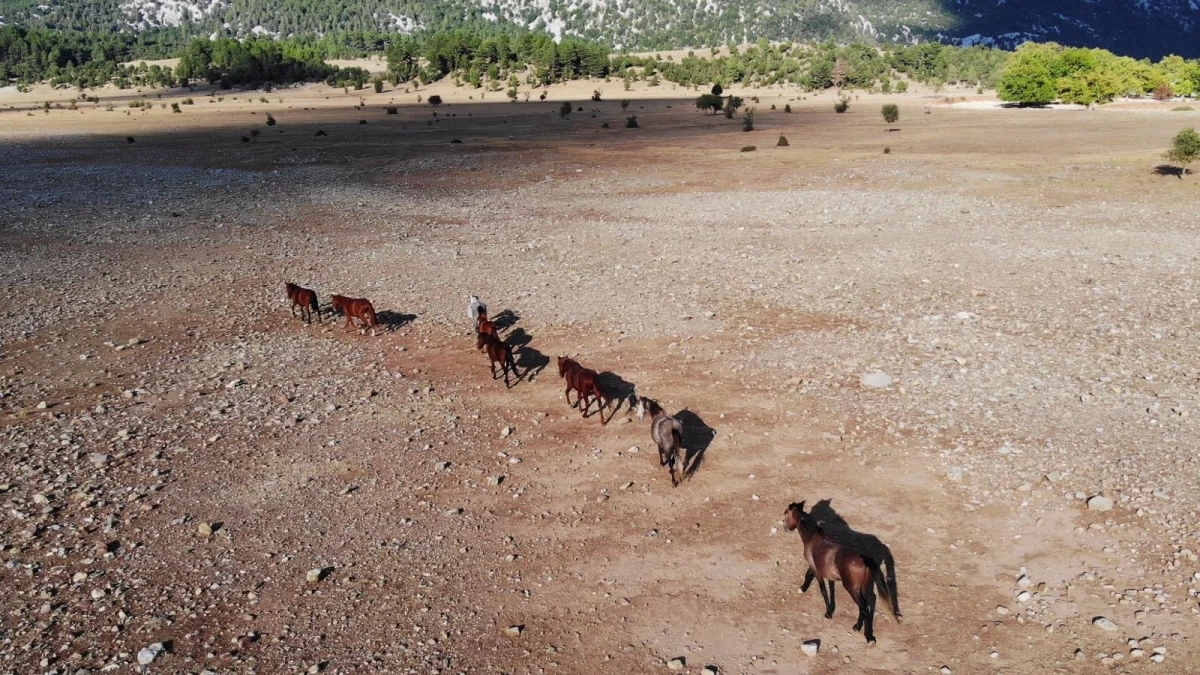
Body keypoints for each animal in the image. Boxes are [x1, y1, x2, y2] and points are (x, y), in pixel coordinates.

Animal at [777, 499, 902, 638]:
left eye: (785, 513)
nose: (785, 527)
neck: (813, 538)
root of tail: (863, 559)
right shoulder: (814, 566)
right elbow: (808, 575)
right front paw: (802, 588)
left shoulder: (817, 571)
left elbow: (823, 590)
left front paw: (828, 613)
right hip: (863, 587)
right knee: (870, 603)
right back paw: (863, 631)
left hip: (852, 589)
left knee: (864, 607)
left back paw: (863, 632)